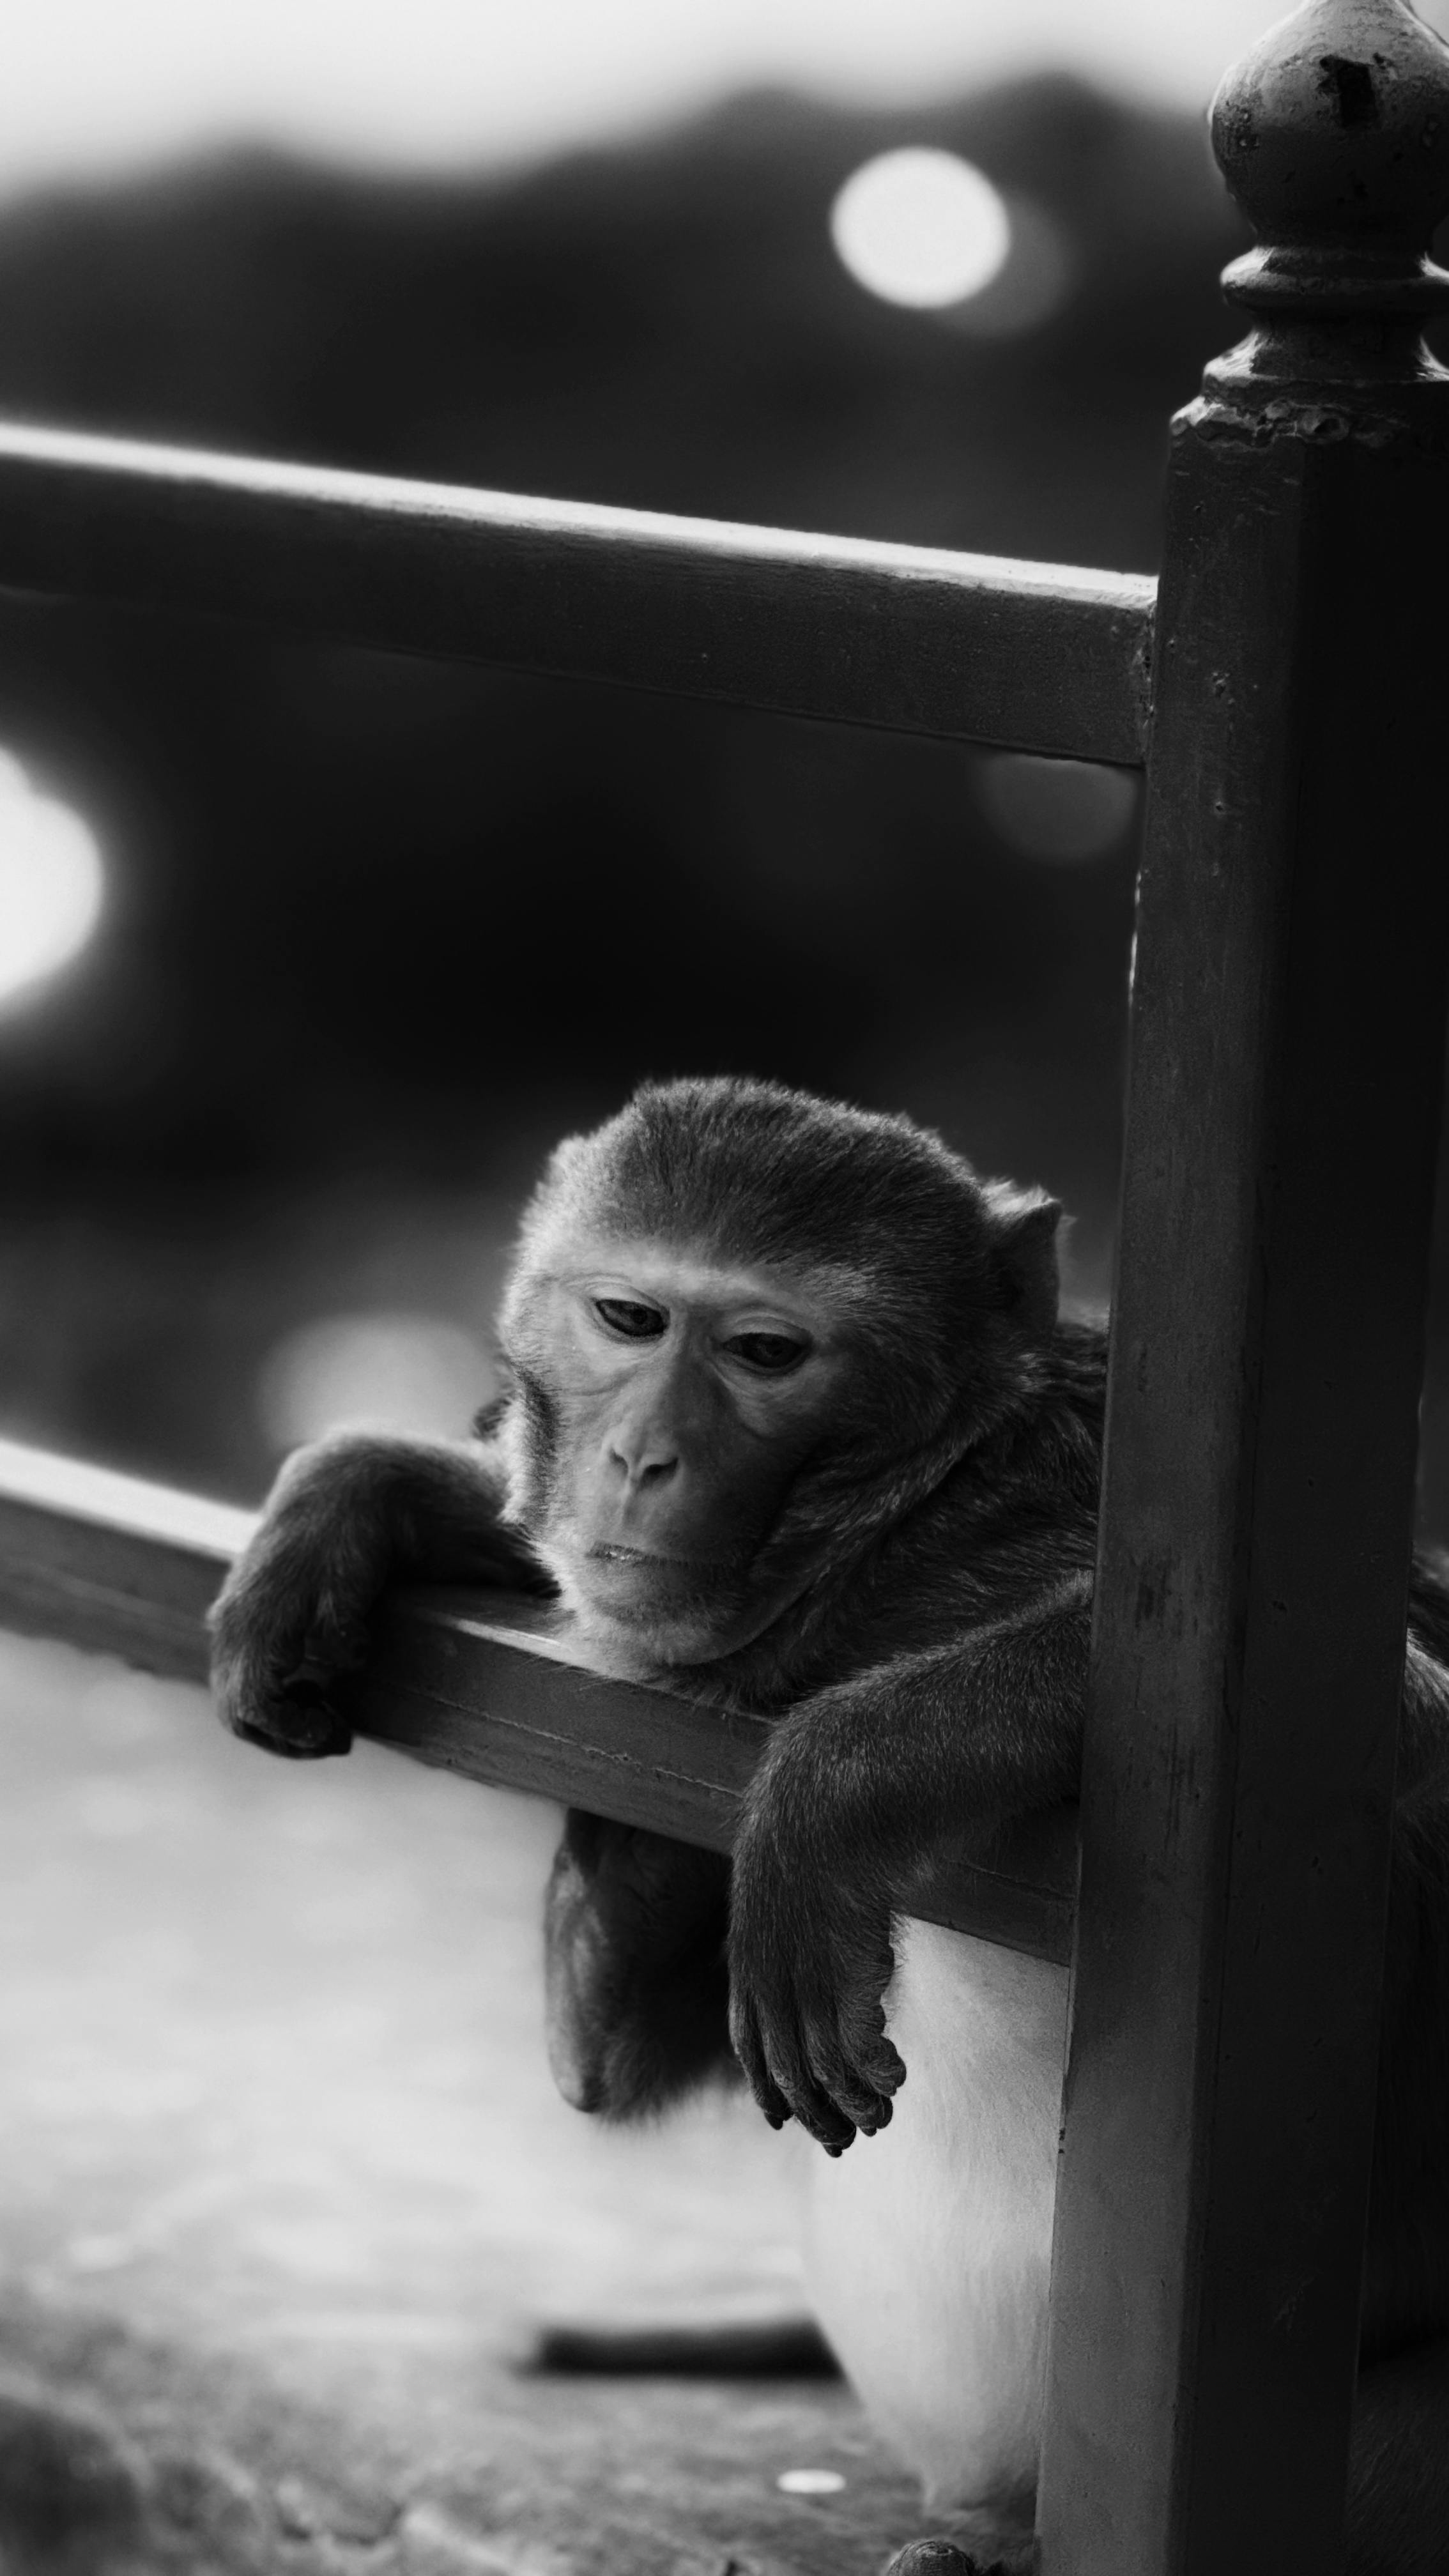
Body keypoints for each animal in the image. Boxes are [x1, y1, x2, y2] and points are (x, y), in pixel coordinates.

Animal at [210, 1076, 1449, 2576]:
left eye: (765, 1352)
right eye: (629, 1318)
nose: (640, 1459)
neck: (892, 1527)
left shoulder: (1033, 1523)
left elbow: (1373, 1707)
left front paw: (817, 1798)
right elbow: (601, 2061)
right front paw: (356, 1489)